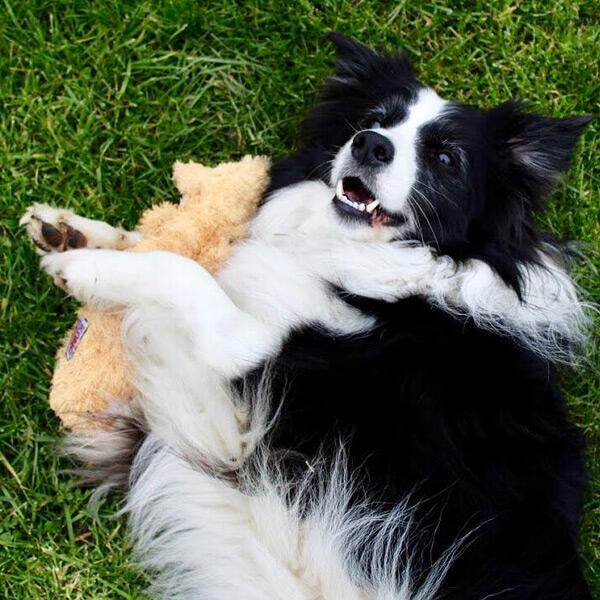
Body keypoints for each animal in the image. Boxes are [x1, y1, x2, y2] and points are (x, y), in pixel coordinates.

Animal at [25, 34, 593, 599]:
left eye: (447, 157)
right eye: (375, 118)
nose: (369, 144)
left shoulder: (243, 414)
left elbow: (185, 272)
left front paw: (85, 268)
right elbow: (179, 250)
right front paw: (71, 232)